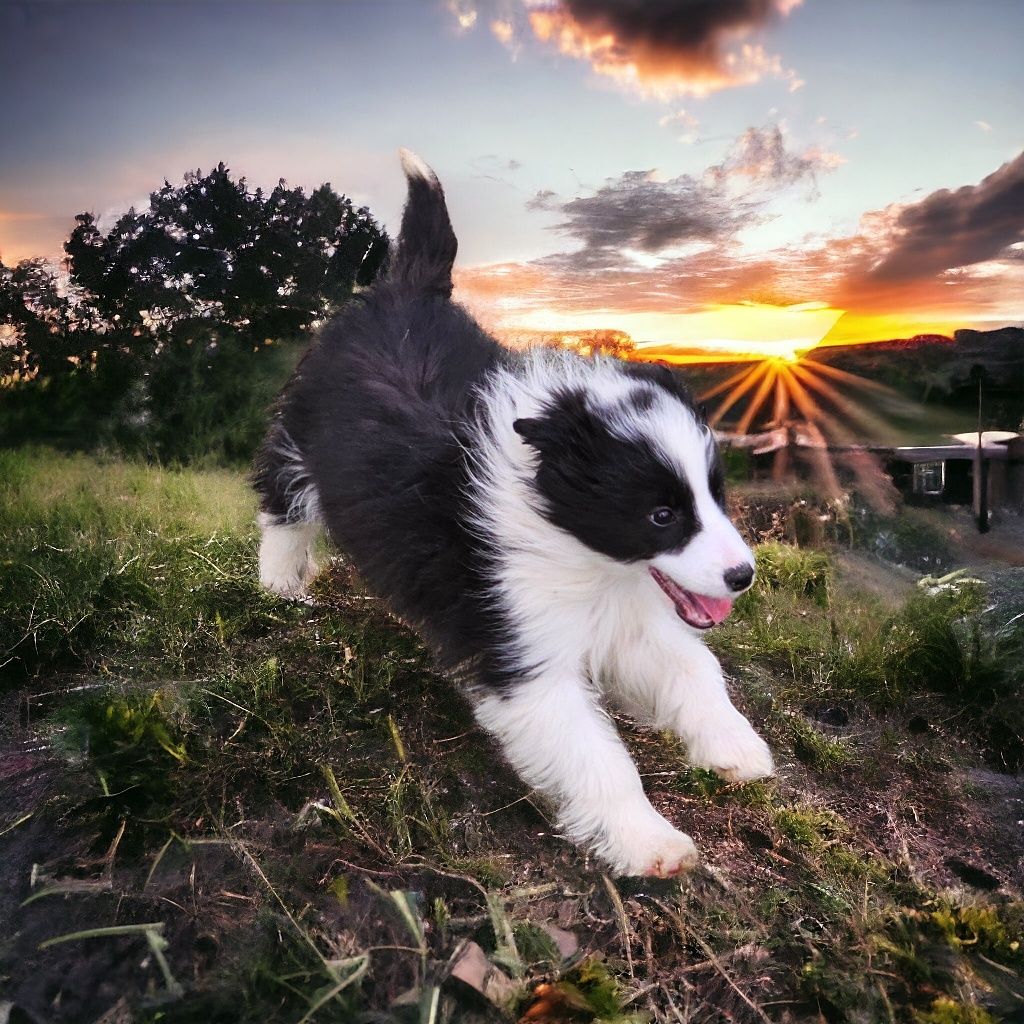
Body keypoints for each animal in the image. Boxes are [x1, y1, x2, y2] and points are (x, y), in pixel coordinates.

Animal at [251, 148, 770, 876]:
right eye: (662, 516)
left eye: (714, 495)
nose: (742, 576)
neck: (576, 545)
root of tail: (404, 290)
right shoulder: (522, 647)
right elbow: (596, 755)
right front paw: (647, 841)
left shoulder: (623, 615)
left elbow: (695, 667)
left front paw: (735, 747)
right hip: (301, 437)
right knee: (284, 503)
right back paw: (280, 585)